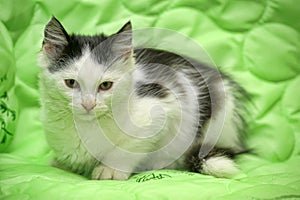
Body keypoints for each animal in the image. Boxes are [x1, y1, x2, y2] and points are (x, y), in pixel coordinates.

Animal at [38, 16, 247, 180]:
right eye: (71, 83)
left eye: (105, 85)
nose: (88, 104)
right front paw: (65, 165)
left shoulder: (161, 107)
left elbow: (129, 147)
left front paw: (110, 170)